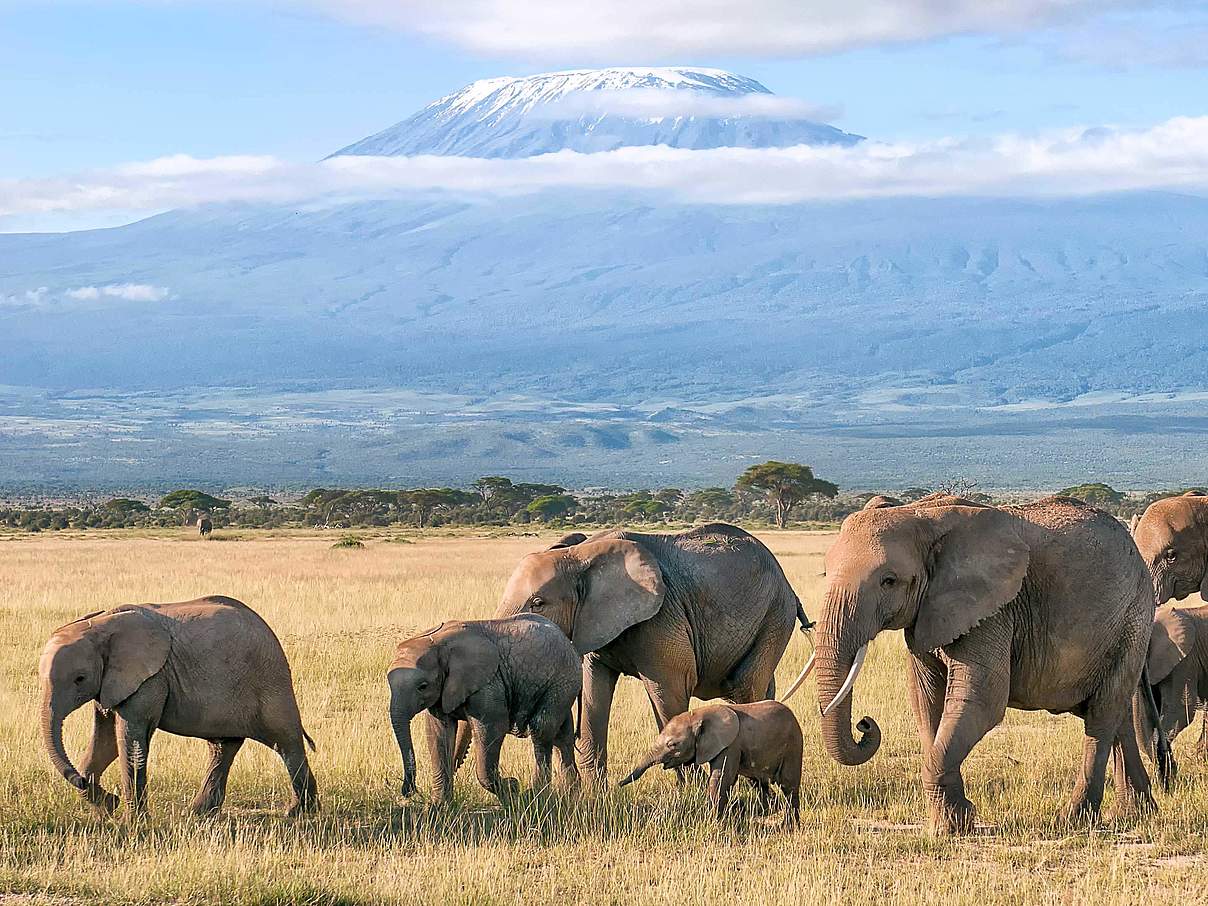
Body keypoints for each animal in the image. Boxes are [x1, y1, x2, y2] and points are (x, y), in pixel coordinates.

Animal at [39, 599, 316, 821]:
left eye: (80, 679)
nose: (81, 780)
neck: (102, 624)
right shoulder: (111, 683)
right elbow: (105, 740)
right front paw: (106, 808)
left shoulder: (151, 679)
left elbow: (130, 740)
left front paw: (133, 822)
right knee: (223, 747)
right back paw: (198, 813)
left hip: (271, 682)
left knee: (286, 743)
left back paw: (299, 813)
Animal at [386, 613, 575, 806]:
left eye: (422, 686)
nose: (408, 791)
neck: (437, 643)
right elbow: (438, 734)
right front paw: (438, 807)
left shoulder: (489, 685)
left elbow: (492, 729)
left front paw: (512, 788)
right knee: (562, 737)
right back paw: (572, 795)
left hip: (561, 682)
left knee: (541, 731)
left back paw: (537, 797)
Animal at [485, 521, 806, 782]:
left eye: (538, 603)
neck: (580, 554)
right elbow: (593, 692)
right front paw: (595, 795)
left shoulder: (662, 617)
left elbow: (670, 691)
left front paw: (693, 794)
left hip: (775, 614)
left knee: (745, 686)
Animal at [623, 700, 802, 831]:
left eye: (672, 745)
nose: (619, 784)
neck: (698, 715)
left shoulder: (730, 745)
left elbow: (721, 778)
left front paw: (713, 824)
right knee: (758, 782)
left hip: (793, 746)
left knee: (788, 786)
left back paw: (788, 828)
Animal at [777, 497, 1154, 835]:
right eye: (825, 572)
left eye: (889, 581)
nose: (865, 724)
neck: (921, 513)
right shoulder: (928, 613)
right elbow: (926, 702)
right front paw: (951, 823)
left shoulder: (994, 610)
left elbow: (981, 701)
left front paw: (954, 825)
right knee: (1115, 714)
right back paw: (1135, 813)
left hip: (1133, 619)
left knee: (1102, 716)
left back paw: (1075, 819)